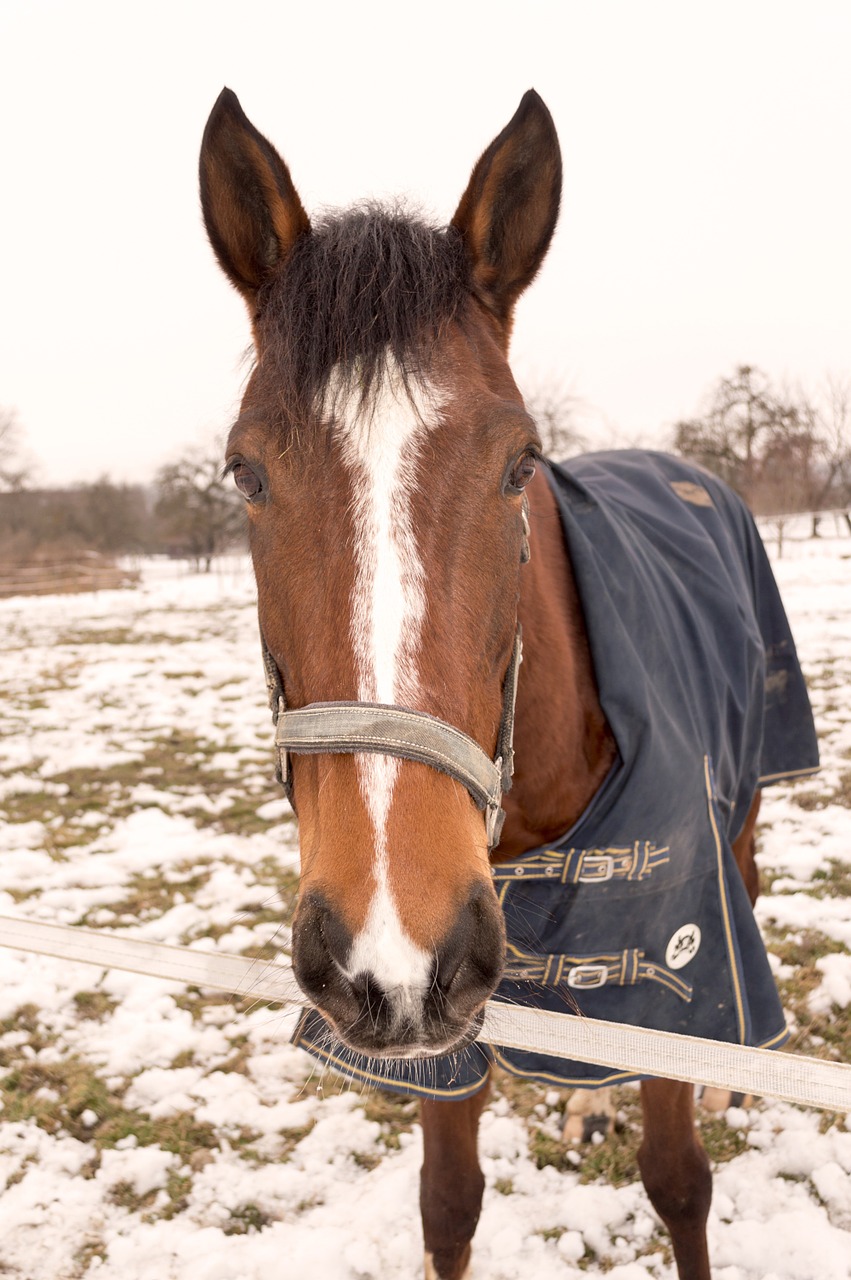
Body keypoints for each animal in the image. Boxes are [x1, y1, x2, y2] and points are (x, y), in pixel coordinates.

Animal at [197, 90, 819, 1280]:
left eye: (519, 463)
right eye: (244, 472)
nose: (389, 947)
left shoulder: (660, 975)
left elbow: (678, 1181)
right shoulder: (438, 1029)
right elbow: (448, 1202)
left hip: (748, 817)